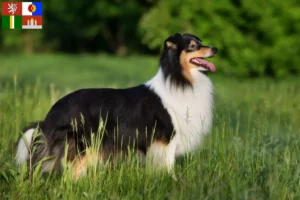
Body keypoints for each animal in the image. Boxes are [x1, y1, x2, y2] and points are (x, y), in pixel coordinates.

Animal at [15, 32, 218, 178]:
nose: (215, 48)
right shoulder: (165, 139)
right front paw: (172, 182)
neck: (180, 79)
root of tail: (49, 116)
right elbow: (168, 167)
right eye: (193, 46)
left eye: (200, 41)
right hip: (81, 144)